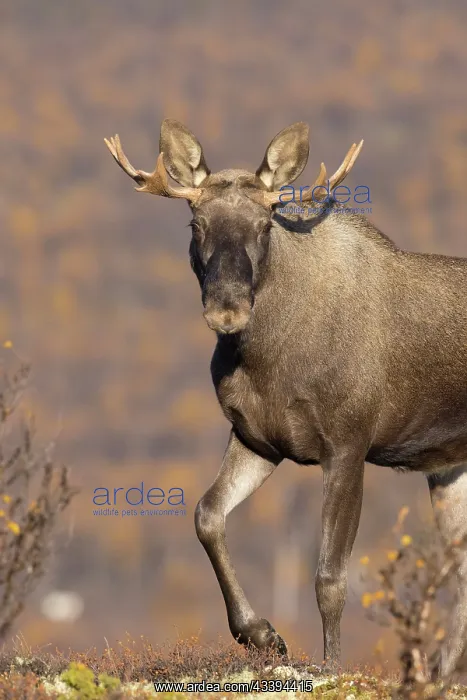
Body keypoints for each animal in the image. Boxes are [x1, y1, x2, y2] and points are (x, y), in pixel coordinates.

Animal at [105, 120, 467, 678]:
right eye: (196, 224)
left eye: (264, 226)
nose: (228, 308)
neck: (267, 361)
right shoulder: (258, 440)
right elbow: (206, 515)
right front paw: (260, 634)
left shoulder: (348, 446)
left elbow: (330, 578)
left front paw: (332, 666)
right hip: (449, 469)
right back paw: (442, 674)